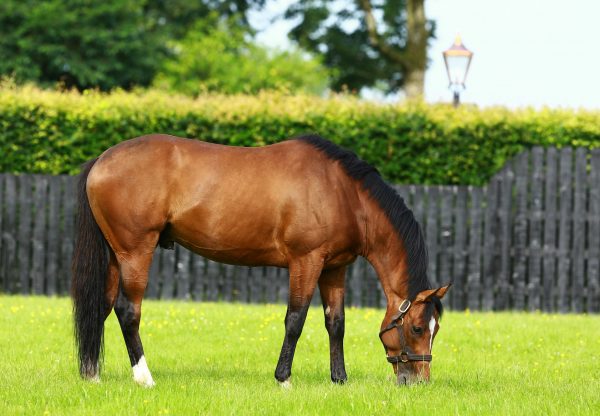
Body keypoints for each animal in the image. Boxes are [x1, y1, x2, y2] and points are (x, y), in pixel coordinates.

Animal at [70, 133, 448, 386]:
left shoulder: (334, 268)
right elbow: (295, 320)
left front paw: (339, 379)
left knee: (101, 307)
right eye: (417, 327)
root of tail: (101, 160)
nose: (420, 379)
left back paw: (92, 375)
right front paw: (283, 379)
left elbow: (336, 323)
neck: (343, 193)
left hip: (116, 256)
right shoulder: (306, 262)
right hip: (136, 252)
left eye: (436, 329)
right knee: (127, 311)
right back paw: (144, 377)